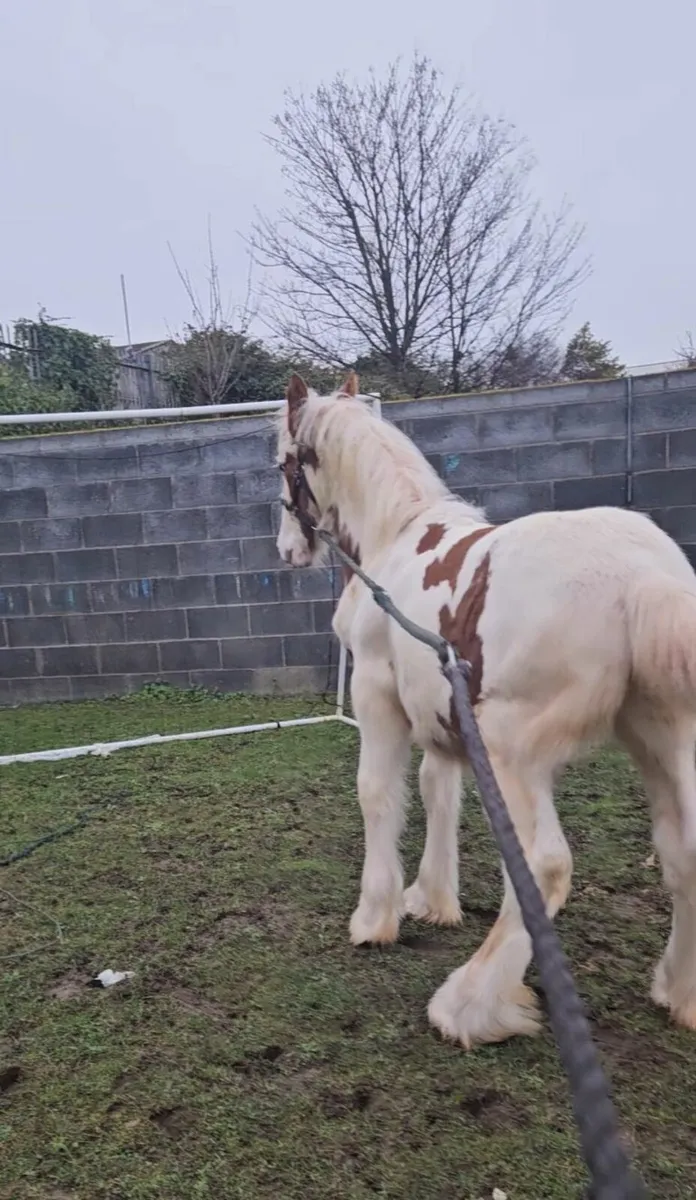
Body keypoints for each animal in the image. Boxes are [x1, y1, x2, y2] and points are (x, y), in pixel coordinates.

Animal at [274, 370, 696, 1049]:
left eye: (284, 464)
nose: (288, 549)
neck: (395, 540)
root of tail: (644, 579)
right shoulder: (443, 713)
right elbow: (437, 790)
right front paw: (432, 898)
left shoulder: (377, 694)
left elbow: (377, 793)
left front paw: (375, 916)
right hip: (661, 739)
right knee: (684, 854)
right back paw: (679, 992)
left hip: (514, 747)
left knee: (543, 866)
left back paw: (466, 1006)